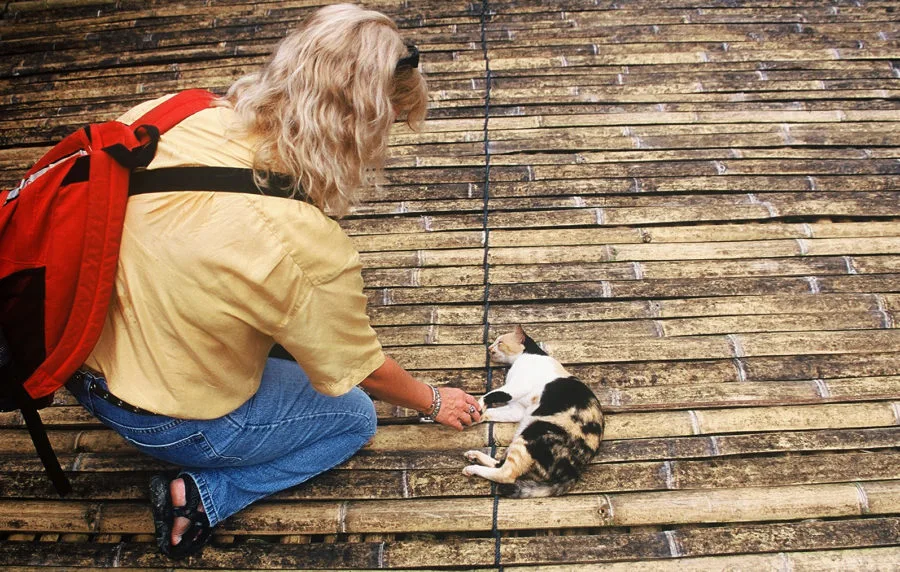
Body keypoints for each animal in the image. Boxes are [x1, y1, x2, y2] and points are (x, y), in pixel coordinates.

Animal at [464, 324, 604, 498]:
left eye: (500, 342)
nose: (489, 348)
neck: (528, 355)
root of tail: (573, 471)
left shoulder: (515, 387)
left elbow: (491, 394)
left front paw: (477, 406)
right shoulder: (517, 408)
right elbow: (492, 412)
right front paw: (474, 416)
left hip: (532, 434)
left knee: (506, 474)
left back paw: (472, 469)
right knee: (499, 464)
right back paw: (474, 456)